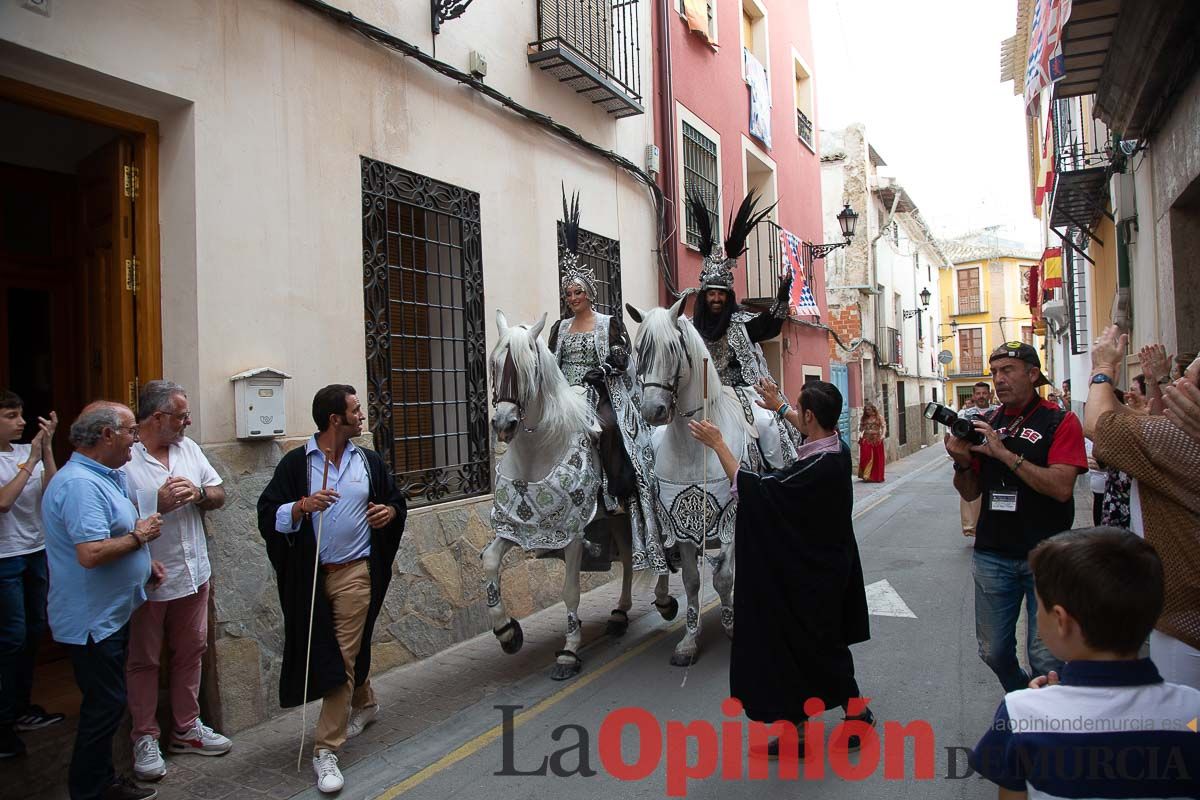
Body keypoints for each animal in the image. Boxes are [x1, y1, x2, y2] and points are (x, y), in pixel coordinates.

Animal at [484, 309, 643, 681]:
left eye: (530, 368)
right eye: (494, 364)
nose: (504, 424)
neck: (538, 451)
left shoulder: (571, 531)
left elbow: (570, 591)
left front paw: (569, 652)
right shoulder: (516, 527)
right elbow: (490, 561)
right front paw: (507, 632)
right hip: (615, 520)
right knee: (629, 557)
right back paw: (620, 614)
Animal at [624, 297, 753, 666]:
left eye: (673, 347)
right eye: (639, 349)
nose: (653, 410)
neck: (696, 446)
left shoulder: (730, 520)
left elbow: (724, 578)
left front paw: (731, 625)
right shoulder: (682, 529)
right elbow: (693, 581)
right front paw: (688, 642)